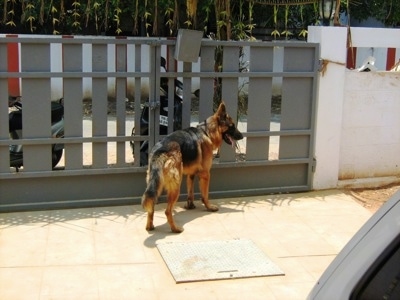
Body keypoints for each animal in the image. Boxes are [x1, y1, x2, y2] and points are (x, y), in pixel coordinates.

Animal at [142, 102, 242, 233]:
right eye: (232, 126)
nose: (242, 136)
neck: (207, 132)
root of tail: (160, 150)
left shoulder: (191, 174)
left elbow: (191, 192)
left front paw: (190, 206)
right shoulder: (206, 174)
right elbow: (205, 195)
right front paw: (209, 207)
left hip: (155, 184)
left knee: (151, 206)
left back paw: (150, 226)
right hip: (176, 186)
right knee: (167, 211)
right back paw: (175, 229)